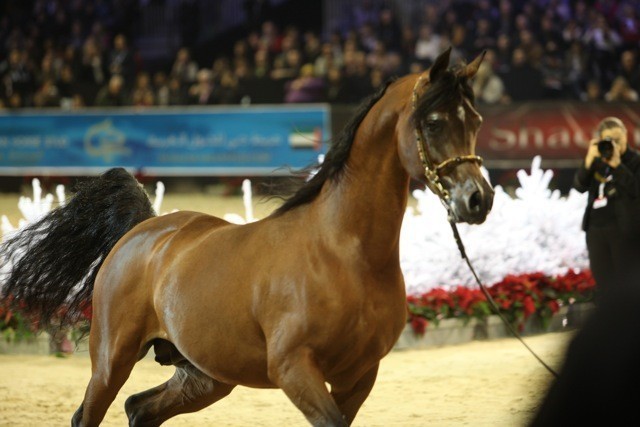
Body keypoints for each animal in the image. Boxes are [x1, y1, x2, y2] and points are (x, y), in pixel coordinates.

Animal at [0, 48, 493, 426]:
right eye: (433, 122)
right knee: (91, 413)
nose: (478, 199)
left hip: (206, 374)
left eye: (476, 120)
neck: (343, 254)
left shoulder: (359, 376)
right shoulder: (295, 370)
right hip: (112, 359)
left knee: (140, 409)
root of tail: (143, 230)